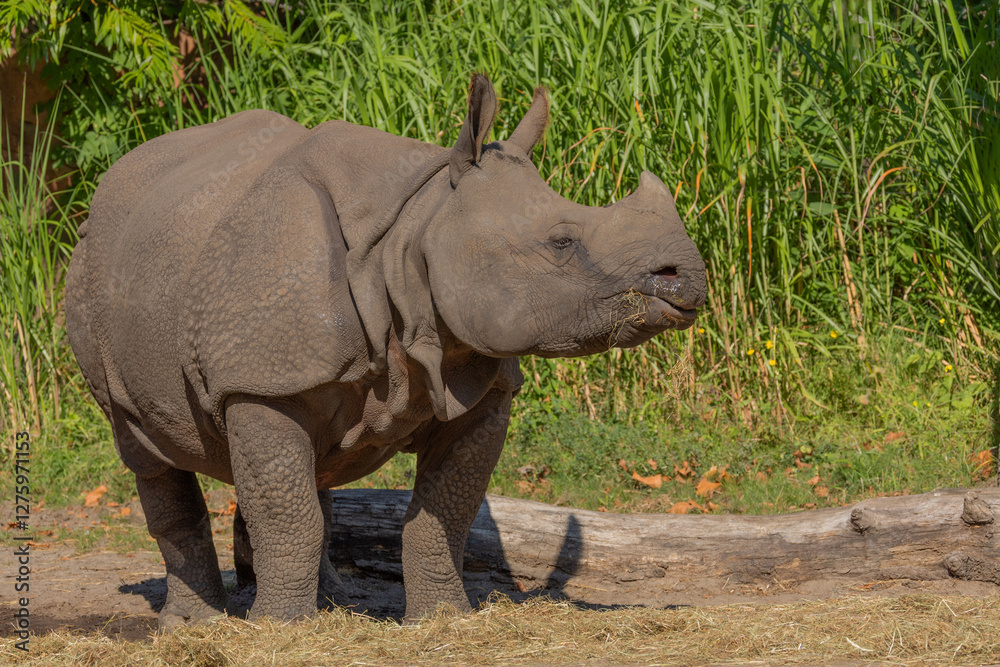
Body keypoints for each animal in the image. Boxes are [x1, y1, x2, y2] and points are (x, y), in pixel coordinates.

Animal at [65, 74, 706, 628]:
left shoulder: (481, 382)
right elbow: (288, 514)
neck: (417, 230)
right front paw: (280, 631)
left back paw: (333, 604)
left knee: (309, 471)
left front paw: (444, 618)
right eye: (562, 242)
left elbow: (443, 513)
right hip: (90, 271)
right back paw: (196, 624)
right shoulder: (258, 377)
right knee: (147, 448)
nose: (687, 276)